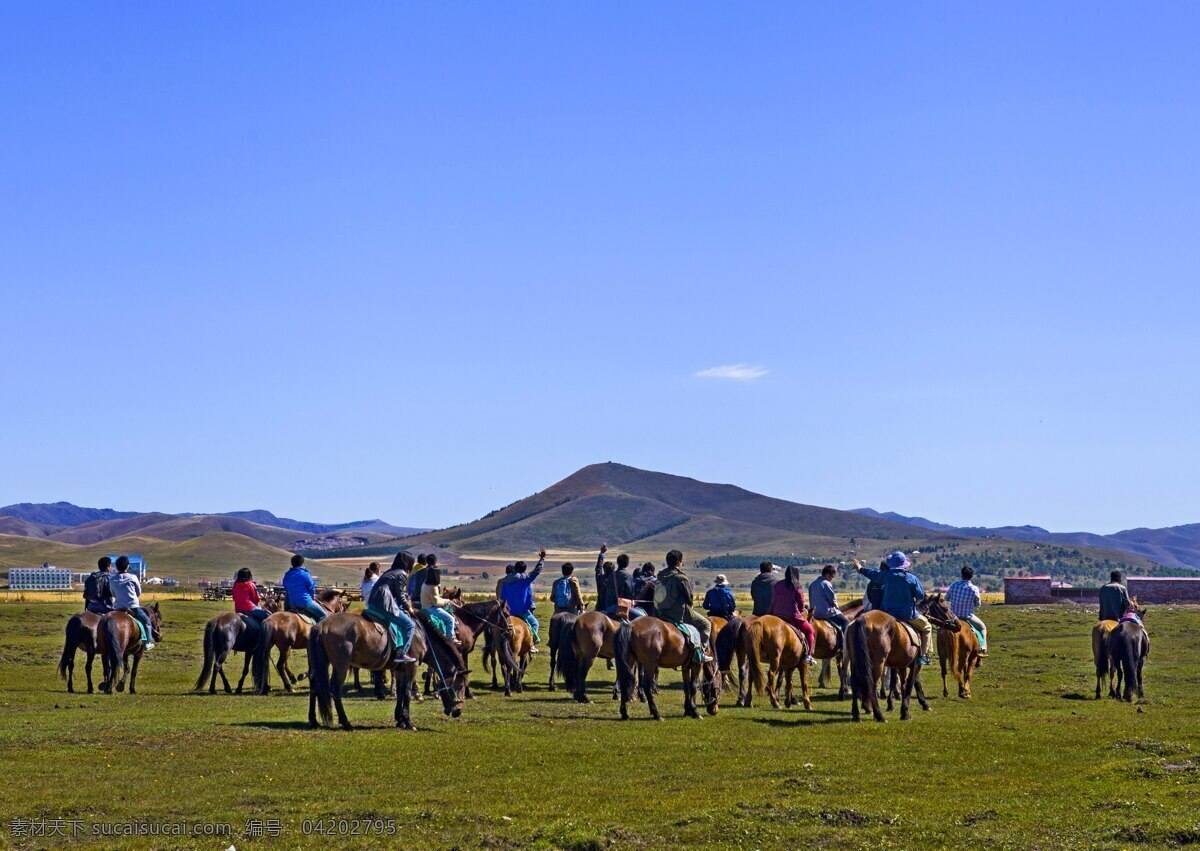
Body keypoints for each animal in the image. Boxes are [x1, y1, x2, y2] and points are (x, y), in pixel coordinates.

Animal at [304, 609, 468, 729]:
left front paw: (400, 720)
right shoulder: (412, 666)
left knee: (314, 685)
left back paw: (313, 720)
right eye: (460, 685)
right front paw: (408, 722)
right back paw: (345, 722)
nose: (459, 710)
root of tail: (321, 626)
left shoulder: (400, 669)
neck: (421, 635)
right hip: (341, 665)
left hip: (319, 664)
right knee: (335, 688)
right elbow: (407, 691)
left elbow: (400, 692)